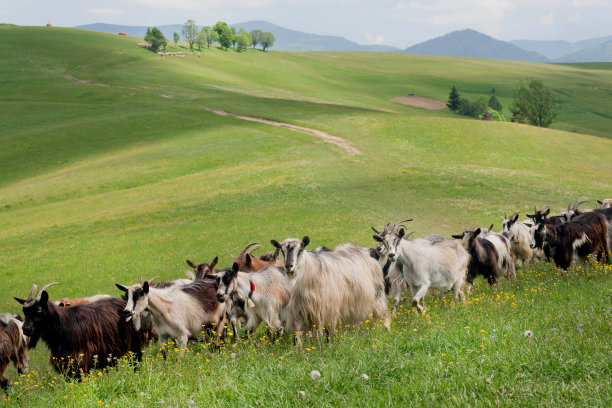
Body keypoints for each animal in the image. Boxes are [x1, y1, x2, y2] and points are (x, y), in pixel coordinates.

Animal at [14, 284, 144, 376]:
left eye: (39, 310)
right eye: (25, 311)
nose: (25, 329)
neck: (63, 325)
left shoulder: (81, 362)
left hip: (134, 348)